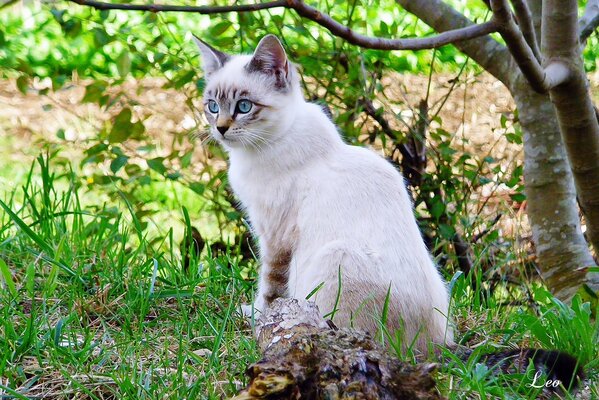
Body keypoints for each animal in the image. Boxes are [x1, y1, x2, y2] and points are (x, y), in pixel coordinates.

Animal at [195, 34, 452, 354]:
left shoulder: (275, 236)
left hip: (335, 256)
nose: (220, 129)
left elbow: (269, 286)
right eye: (212, 106)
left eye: (243, 106)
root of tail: (437, 346)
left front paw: (258, 317)